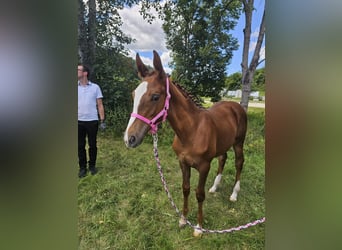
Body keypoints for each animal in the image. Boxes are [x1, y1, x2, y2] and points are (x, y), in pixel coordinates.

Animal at [124, 50, 247, 236]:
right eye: (133, 95)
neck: (191, 130)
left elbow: (199, 194)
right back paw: (215, 187)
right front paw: (183, 220)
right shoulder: (182, 162)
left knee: (239, 162)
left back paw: (234, 194)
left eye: (155, 96)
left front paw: (199, 227)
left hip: (238, 143)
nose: (129, 138)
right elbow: (186, 188)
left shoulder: (204, 166)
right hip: (223, 144)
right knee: (223, 158)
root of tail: (236, 106)